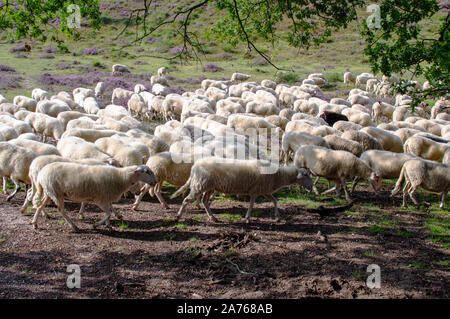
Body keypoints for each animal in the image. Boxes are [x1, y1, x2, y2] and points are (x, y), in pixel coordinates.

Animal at [171, 159, 312, 224]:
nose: (311, 188)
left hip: (209, 187)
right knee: (186, 200)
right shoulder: (255, 191)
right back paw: (178, 216)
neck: (277, 175)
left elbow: (275, 201)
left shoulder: (264, 190)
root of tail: (194, 166)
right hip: (199, 185)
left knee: (205, 202)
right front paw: (247, 218)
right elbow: (251, 205)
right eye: (305, 175)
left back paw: (213, 218)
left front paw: (277, 217)